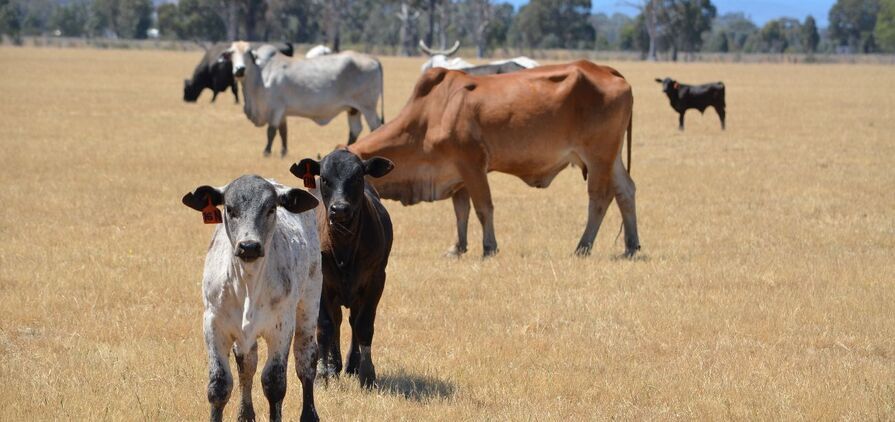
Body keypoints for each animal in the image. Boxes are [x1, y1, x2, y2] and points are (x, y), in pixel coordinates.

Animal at [181, 176, 321, 422]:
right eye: (229, 209)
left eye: (271, 208)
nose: (249, 246)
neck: (247, 284)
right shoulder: (213, 323)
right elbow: (219, 385)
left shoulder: (281, 327)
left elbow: (274, 384)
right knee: (247, 363)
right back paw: (245, 414)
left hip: (309, 305)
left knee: (306, 360)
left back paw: (309, 415)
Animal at [223, 42, 385, 157]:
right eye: (232, 53)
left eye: (248, 53)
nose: (239, 69)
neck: (260, 74)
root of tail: (372, 58)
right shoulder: (282, 112)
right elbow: (283, 131)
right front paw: (283, 152)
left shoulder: (276, 108)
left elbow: (271, 131)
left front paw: (266, 152)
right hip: (353, 109)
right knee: (355, 130)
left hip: (368, 107)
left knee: (376, 127)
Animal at [289, 149, 394, 388]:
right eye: (325, 178)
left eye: (356, 177)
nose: (340, 209)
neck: (344, 245)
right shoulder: (321, 284)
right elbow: (325, 326)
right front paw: (321, 373)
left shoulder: (376, 280)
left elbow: (363, 325)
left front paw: (367, 373)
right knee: (335, 321)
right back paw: (333, 365)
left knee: (352, 321)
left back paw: (350, 365)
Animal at [348, 62, 640, 258]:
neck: (430, 114)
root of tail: (607, 70)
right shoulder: (457, 173)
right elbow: (461, 211)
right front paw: (457, 247)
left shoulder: (473, 165)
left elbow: (482, 208)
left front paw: (489, 247)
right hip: (611, 158)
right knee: (625, 191)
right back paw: (631, 246)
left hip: (598, 157)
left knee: (600, 198)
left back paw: (582, 246)